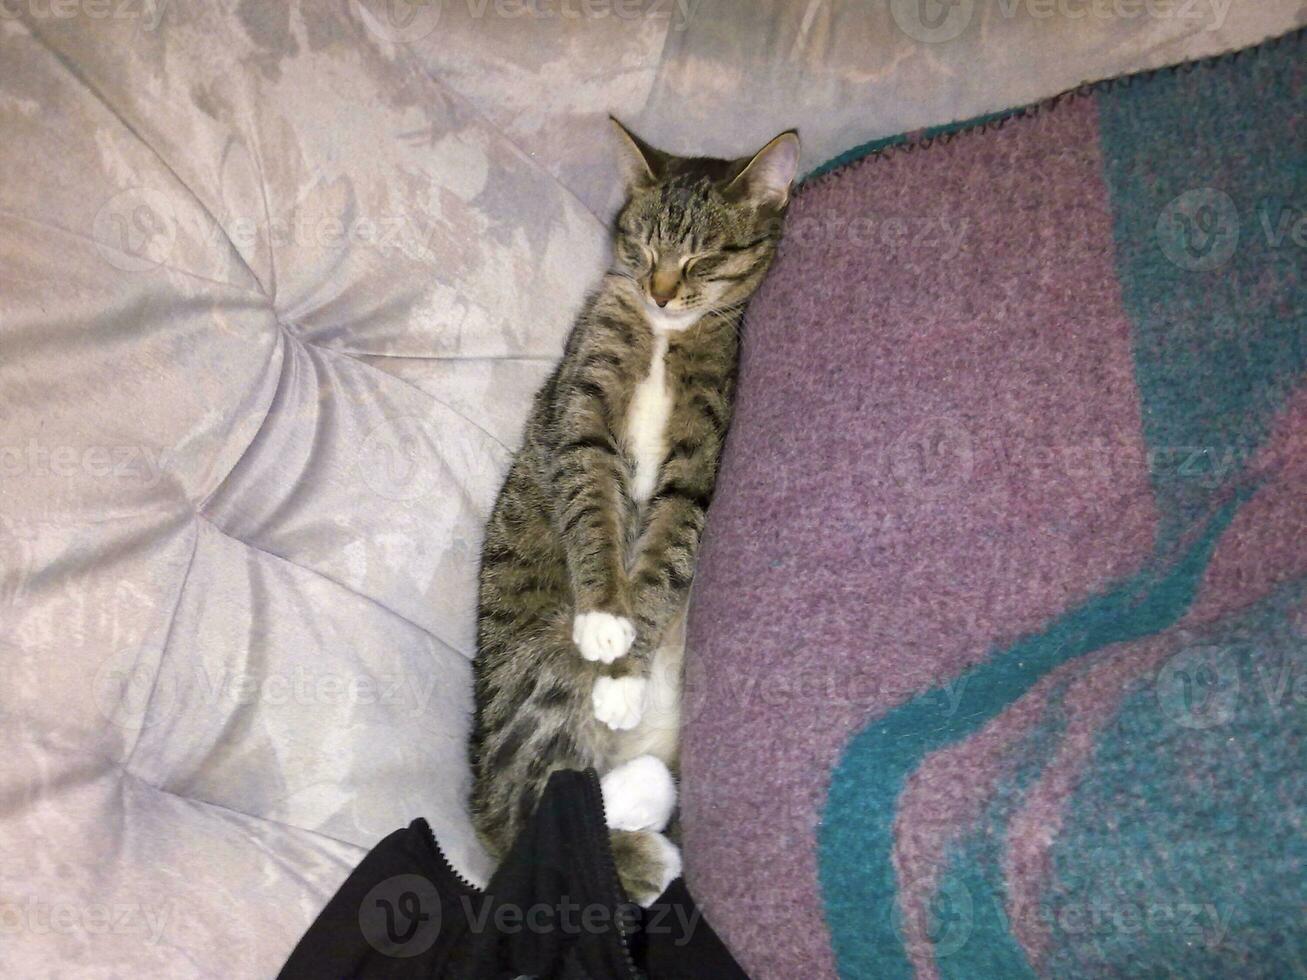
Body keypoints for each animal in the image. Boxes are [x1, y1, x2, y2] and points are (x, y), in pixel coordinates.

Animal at [470, 118, 794, 909]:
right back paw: (647, 845)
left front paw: (624, 672)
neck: (664, 336)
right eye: (642, 247)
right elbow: (591, 509)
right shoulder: (582, 417)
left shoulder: (697, 466)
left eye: (703, 257)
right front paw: (605, 623)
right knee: (523, 817)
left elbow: (664, 557)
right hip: (541, 667)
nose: (660, 291)